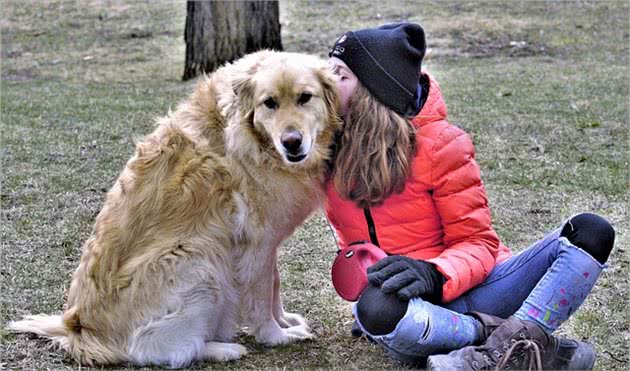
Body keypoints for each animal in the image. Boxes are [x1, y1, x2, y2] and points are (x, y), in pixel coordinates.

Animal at [7, 51, 344, 370]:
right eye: (269, 103)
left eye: (305, 97)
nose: (292, 142)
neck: (255, 141)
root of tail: (78, 330)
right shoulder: (256, 241)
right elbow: (262, 296)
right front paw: (276, 335)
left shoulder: (267, 242)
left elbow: (274, 285)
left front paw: (285, 320)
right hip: (199, 259)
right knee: (148, 348)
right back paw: (222, 349)